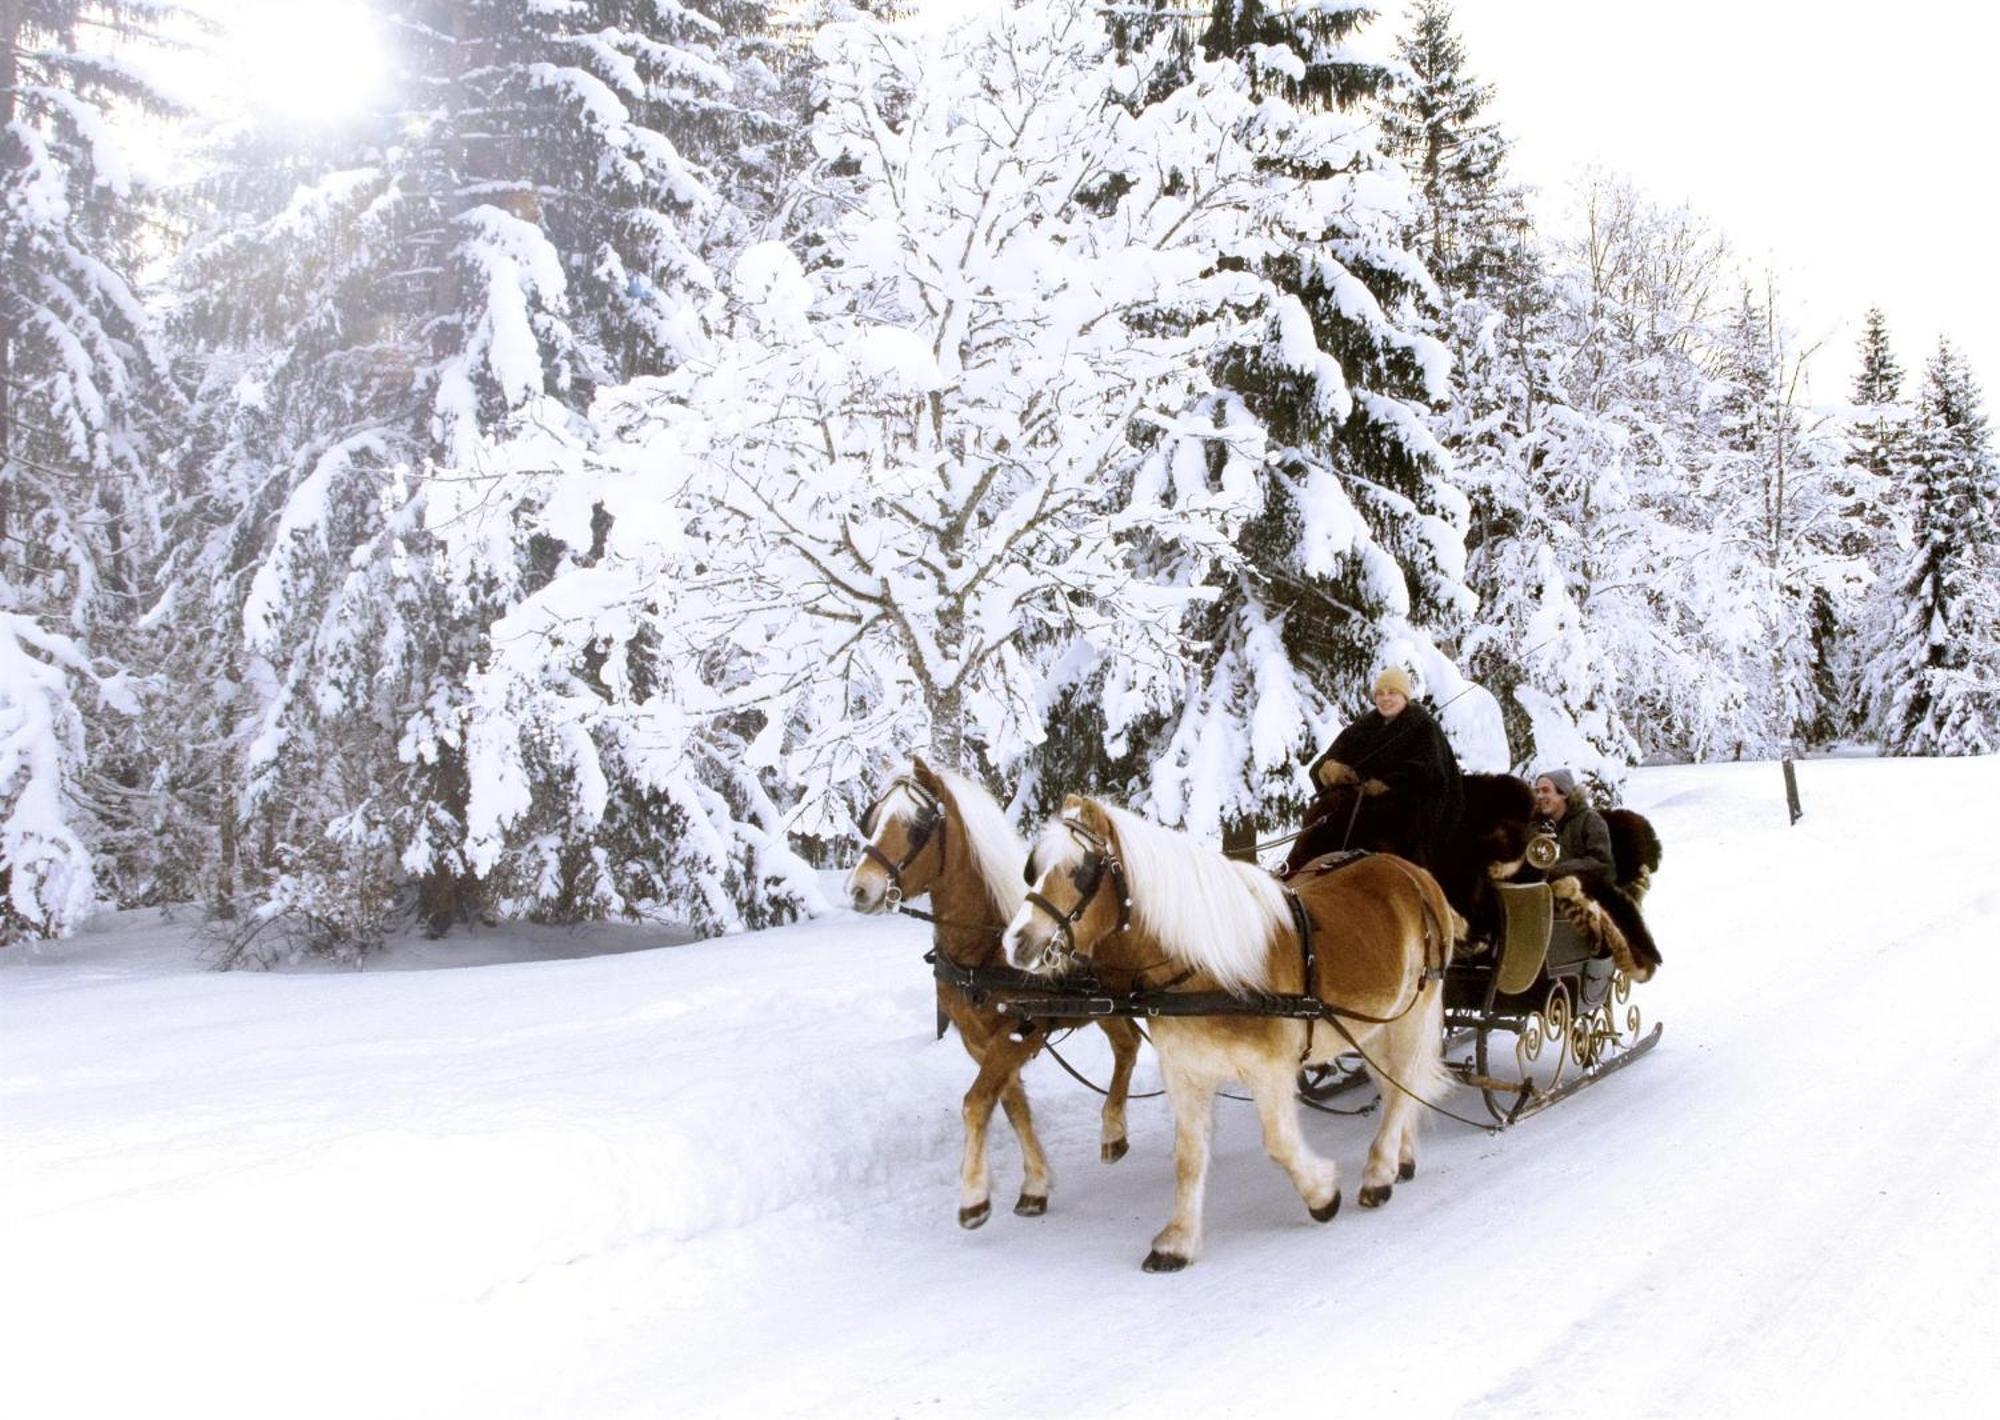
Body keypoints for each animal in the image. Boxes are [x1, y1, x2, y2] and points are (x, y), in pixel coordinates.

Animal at [836, 756, 1144, 1232]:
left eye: (916, 826)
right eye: (874, 817)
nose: (859, 889)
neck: (983, 948)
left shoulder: (1018, 1033)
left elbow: (976, 1102)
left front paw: (974, 1197)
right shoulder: (980, 1041)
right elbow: (1012, 1104)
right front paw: (1035, 1185)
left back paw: (1114, 1128)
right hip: (1108, 1005)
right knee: (1128, 1044)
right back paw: (1114, 1132)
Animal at [1008, 796, 1464, 1272]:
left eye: (1078, 870)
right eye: (1034, 867)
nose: (1016, 943)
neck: (1209, 971)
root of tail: (1412, 872)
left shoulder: (1271, 1071)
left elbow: (1280, 1143)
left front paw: (1323, 1194)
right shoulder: (1186, 1073)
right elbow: (1189, 1157)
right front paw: (1177, 1242)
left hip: (1414, 1012)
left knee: (1404, 1084)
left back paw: (1378, 1173)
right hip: (1372, 1028)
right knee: (1394, 1087)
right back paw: (1401, 1158)